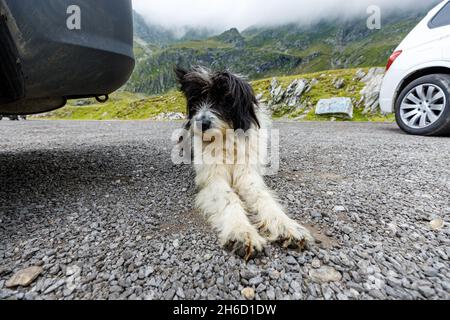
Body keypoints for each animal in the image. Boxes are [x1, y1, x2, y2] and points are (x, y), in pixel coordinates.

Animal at [176, 65, 312, 260]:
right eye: (196, 99)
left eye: (224, 99)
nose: (202, 123)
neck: (226, 139)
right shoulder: (213, 178)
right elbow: (228, 197)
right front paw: (241, 232)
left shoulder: (247, 173)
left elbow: (262, 195)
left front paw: (287, 225)